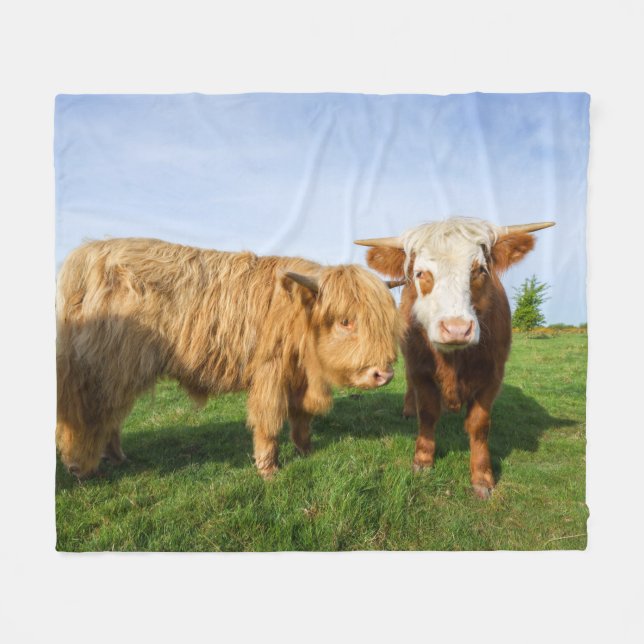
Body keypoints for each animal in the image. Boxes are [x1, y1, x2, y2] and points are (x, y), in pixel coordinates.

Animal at [56, 238, 401, 480]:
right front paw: (268, 469)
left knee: (110, 416)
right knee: (92, 414)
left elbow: (301, 417)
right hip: (103, 368)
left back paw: (115, 457)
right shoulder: (270, 372)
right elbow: (268, 420)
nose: (383, 374)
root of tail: (86, 257)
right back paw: (82, 466)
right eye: (345, 321)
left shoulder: (298, 376)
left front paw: (306, 450)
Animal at [356, 217, 554, 498]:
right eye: (421, 273)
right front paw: (423, 460)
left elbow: (479, 425)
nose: (456, 329)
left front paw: (482, 477)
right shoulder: (420, 369)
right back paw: (408, 409)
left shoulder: (493, 376)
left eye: (480, 270)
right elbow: (428, 413)